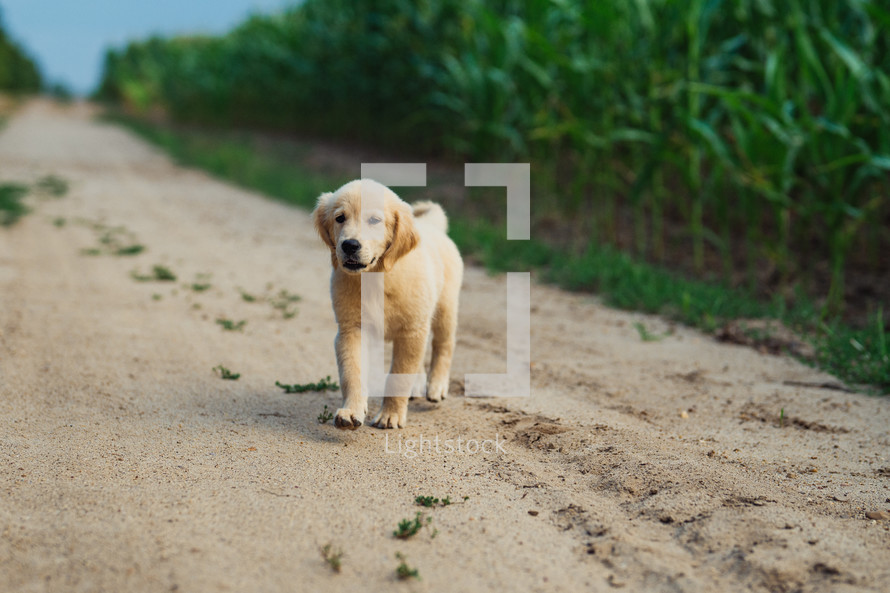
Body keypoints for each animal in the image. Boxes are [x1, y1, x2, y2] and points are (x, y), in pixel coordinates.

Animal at [312, 178, 462, 428]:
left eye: (374, 220)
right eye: (340, 218)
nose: (349, 245)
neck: (376, 276)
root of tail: (432, 225)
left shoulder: (411, 330)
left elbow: (399, 376)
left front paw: (390, 416)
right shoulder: (351, 329)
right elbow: (352, 372)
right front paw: (351, 411)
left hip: (444, 308)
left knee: (444, 344)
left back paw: (436, 386)